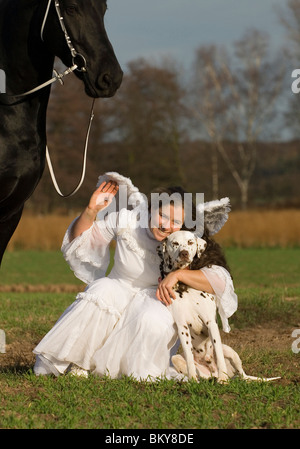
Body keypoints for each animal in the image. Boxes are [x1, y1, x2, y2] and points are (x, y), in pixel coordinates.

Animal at [158, 231, 280, 382]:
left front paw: (223, 379)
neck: (184, 285)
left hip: (231, 352)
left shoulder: (210, 323)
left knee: (242, 374)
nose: (184, 253)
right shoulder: (182, 327)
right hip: (176, 359)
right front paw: (192, 380)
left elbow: (218, 352)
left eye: (190, 242)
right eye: (175, 243)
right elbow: (189, 358)